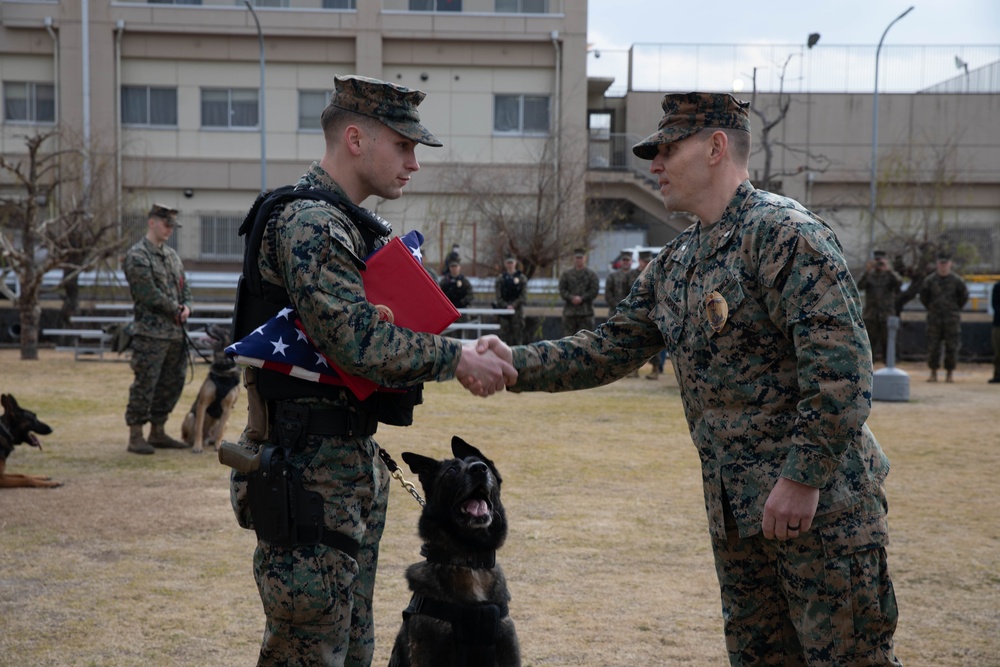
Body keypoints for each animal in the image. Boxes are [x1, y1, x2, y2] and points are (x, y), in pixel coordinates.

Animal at [181, 324, 241, 454]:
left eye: (223, 329)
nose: (207, 324)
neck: (223, 368)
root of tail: (207, 438)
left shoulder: (227, 408)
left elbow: (220, 430)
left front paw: (218, 445)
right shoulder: (203, 404)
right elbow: (198, 428)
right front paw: (197, 447)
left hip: (227, 421)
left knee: (217, 431)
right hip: (190, 416)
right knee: (189, 435)